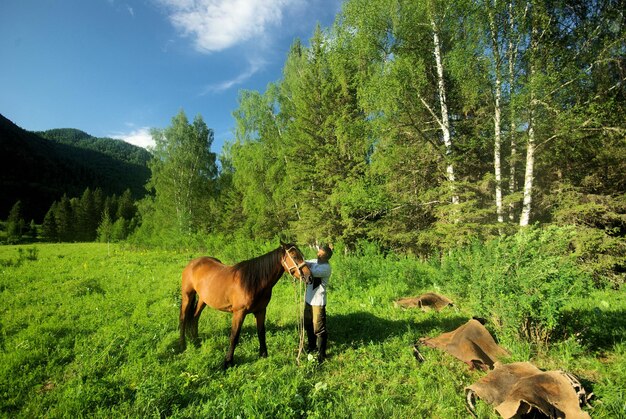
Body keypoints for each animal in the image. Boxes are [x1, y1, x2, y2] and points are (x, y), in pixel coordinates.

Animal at [178, 241, 310, 370]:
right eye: (294, 256)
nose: (309, 277)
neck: (254, 282)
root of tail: (193, 263)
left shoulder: (261, 311)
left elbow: (261, 332)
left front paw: (263, 355)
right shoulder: (239, 313)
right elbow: (234, 336)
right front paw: (228, 362)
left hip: (203, 299)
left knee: (195, 317)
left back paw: (196, 341)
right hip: (187, 296)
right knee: (183, 318)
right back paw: (183, 345)